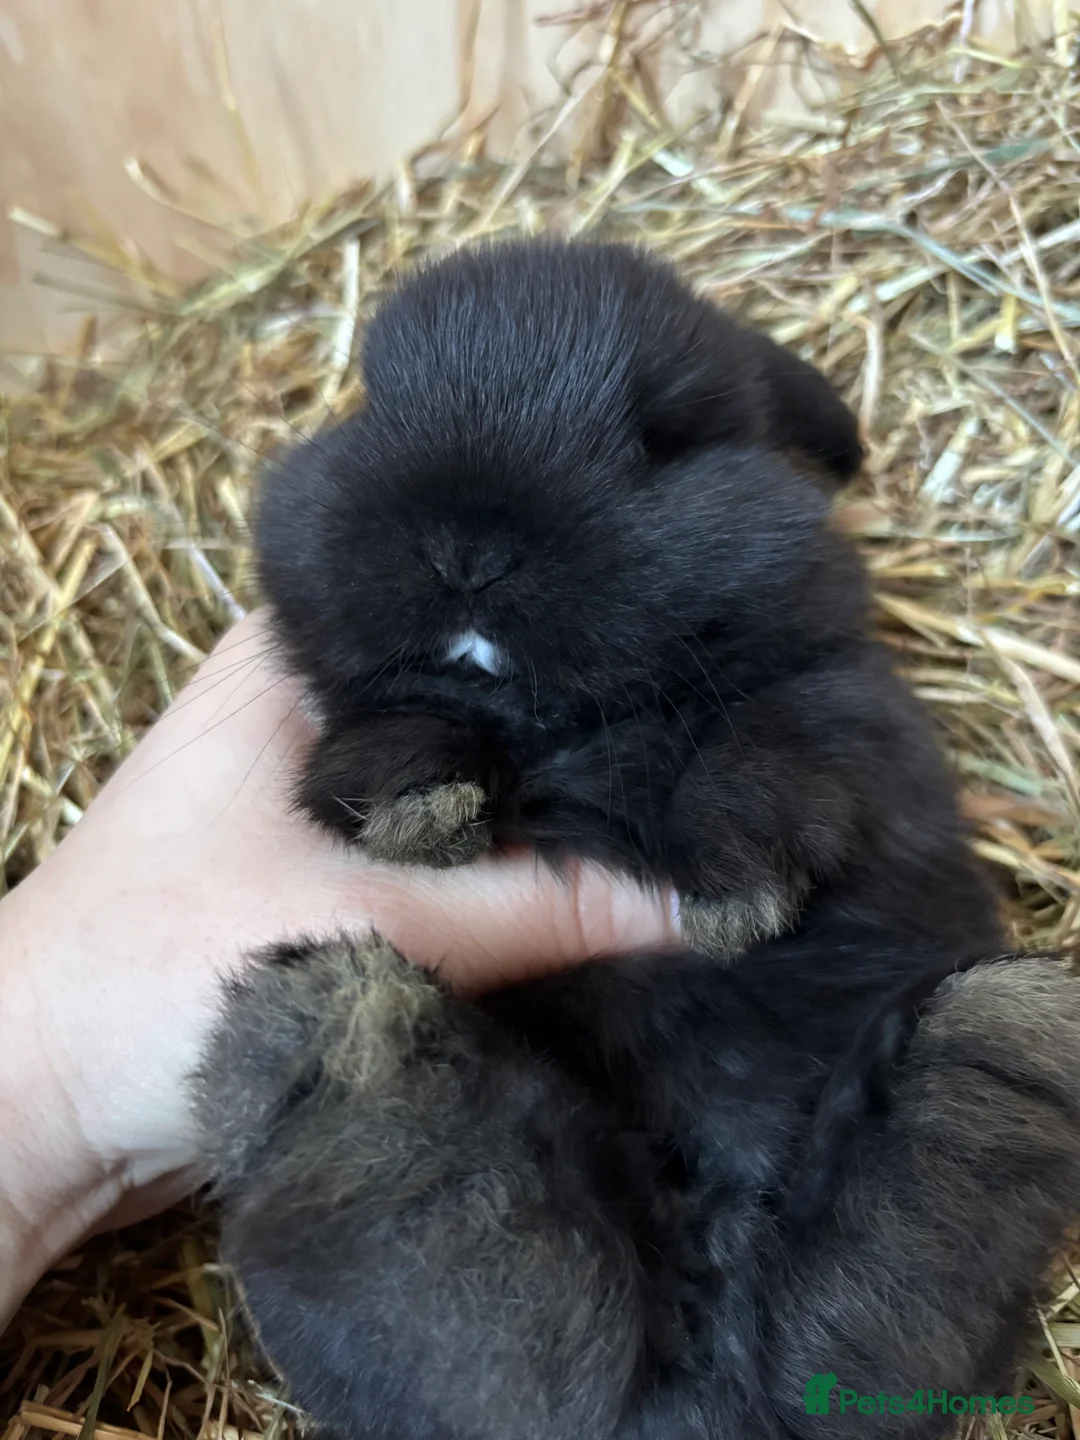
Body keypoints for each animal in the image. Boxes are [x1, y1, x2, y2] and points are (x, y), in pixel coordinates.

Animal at [254, 238, 1002, 961]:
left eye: (664, 439)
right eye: (370, 412)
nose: (466, 557)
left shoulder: (842, 696)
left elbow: (763, 757)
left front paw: (737, 905)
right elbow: (388, 734)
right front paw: (418, 807)